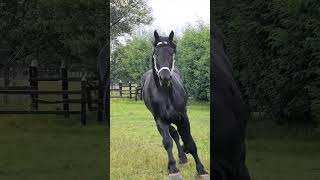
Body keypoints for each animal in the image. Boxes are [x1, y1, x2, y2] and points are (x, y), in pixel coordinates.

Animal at [141, 31, 209, 179]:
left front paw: (201, 169)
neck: (166, 94)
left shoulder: (183, 118)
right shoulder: (161, 120)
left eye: (172, 52)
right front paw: (172, 168)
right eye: (155, 53)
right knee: (173, 134)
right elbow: (167, 142)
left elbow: (190, 141)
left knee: (178, 134)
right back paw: (181, 157)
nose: (165, 78)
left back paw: (183, 156)